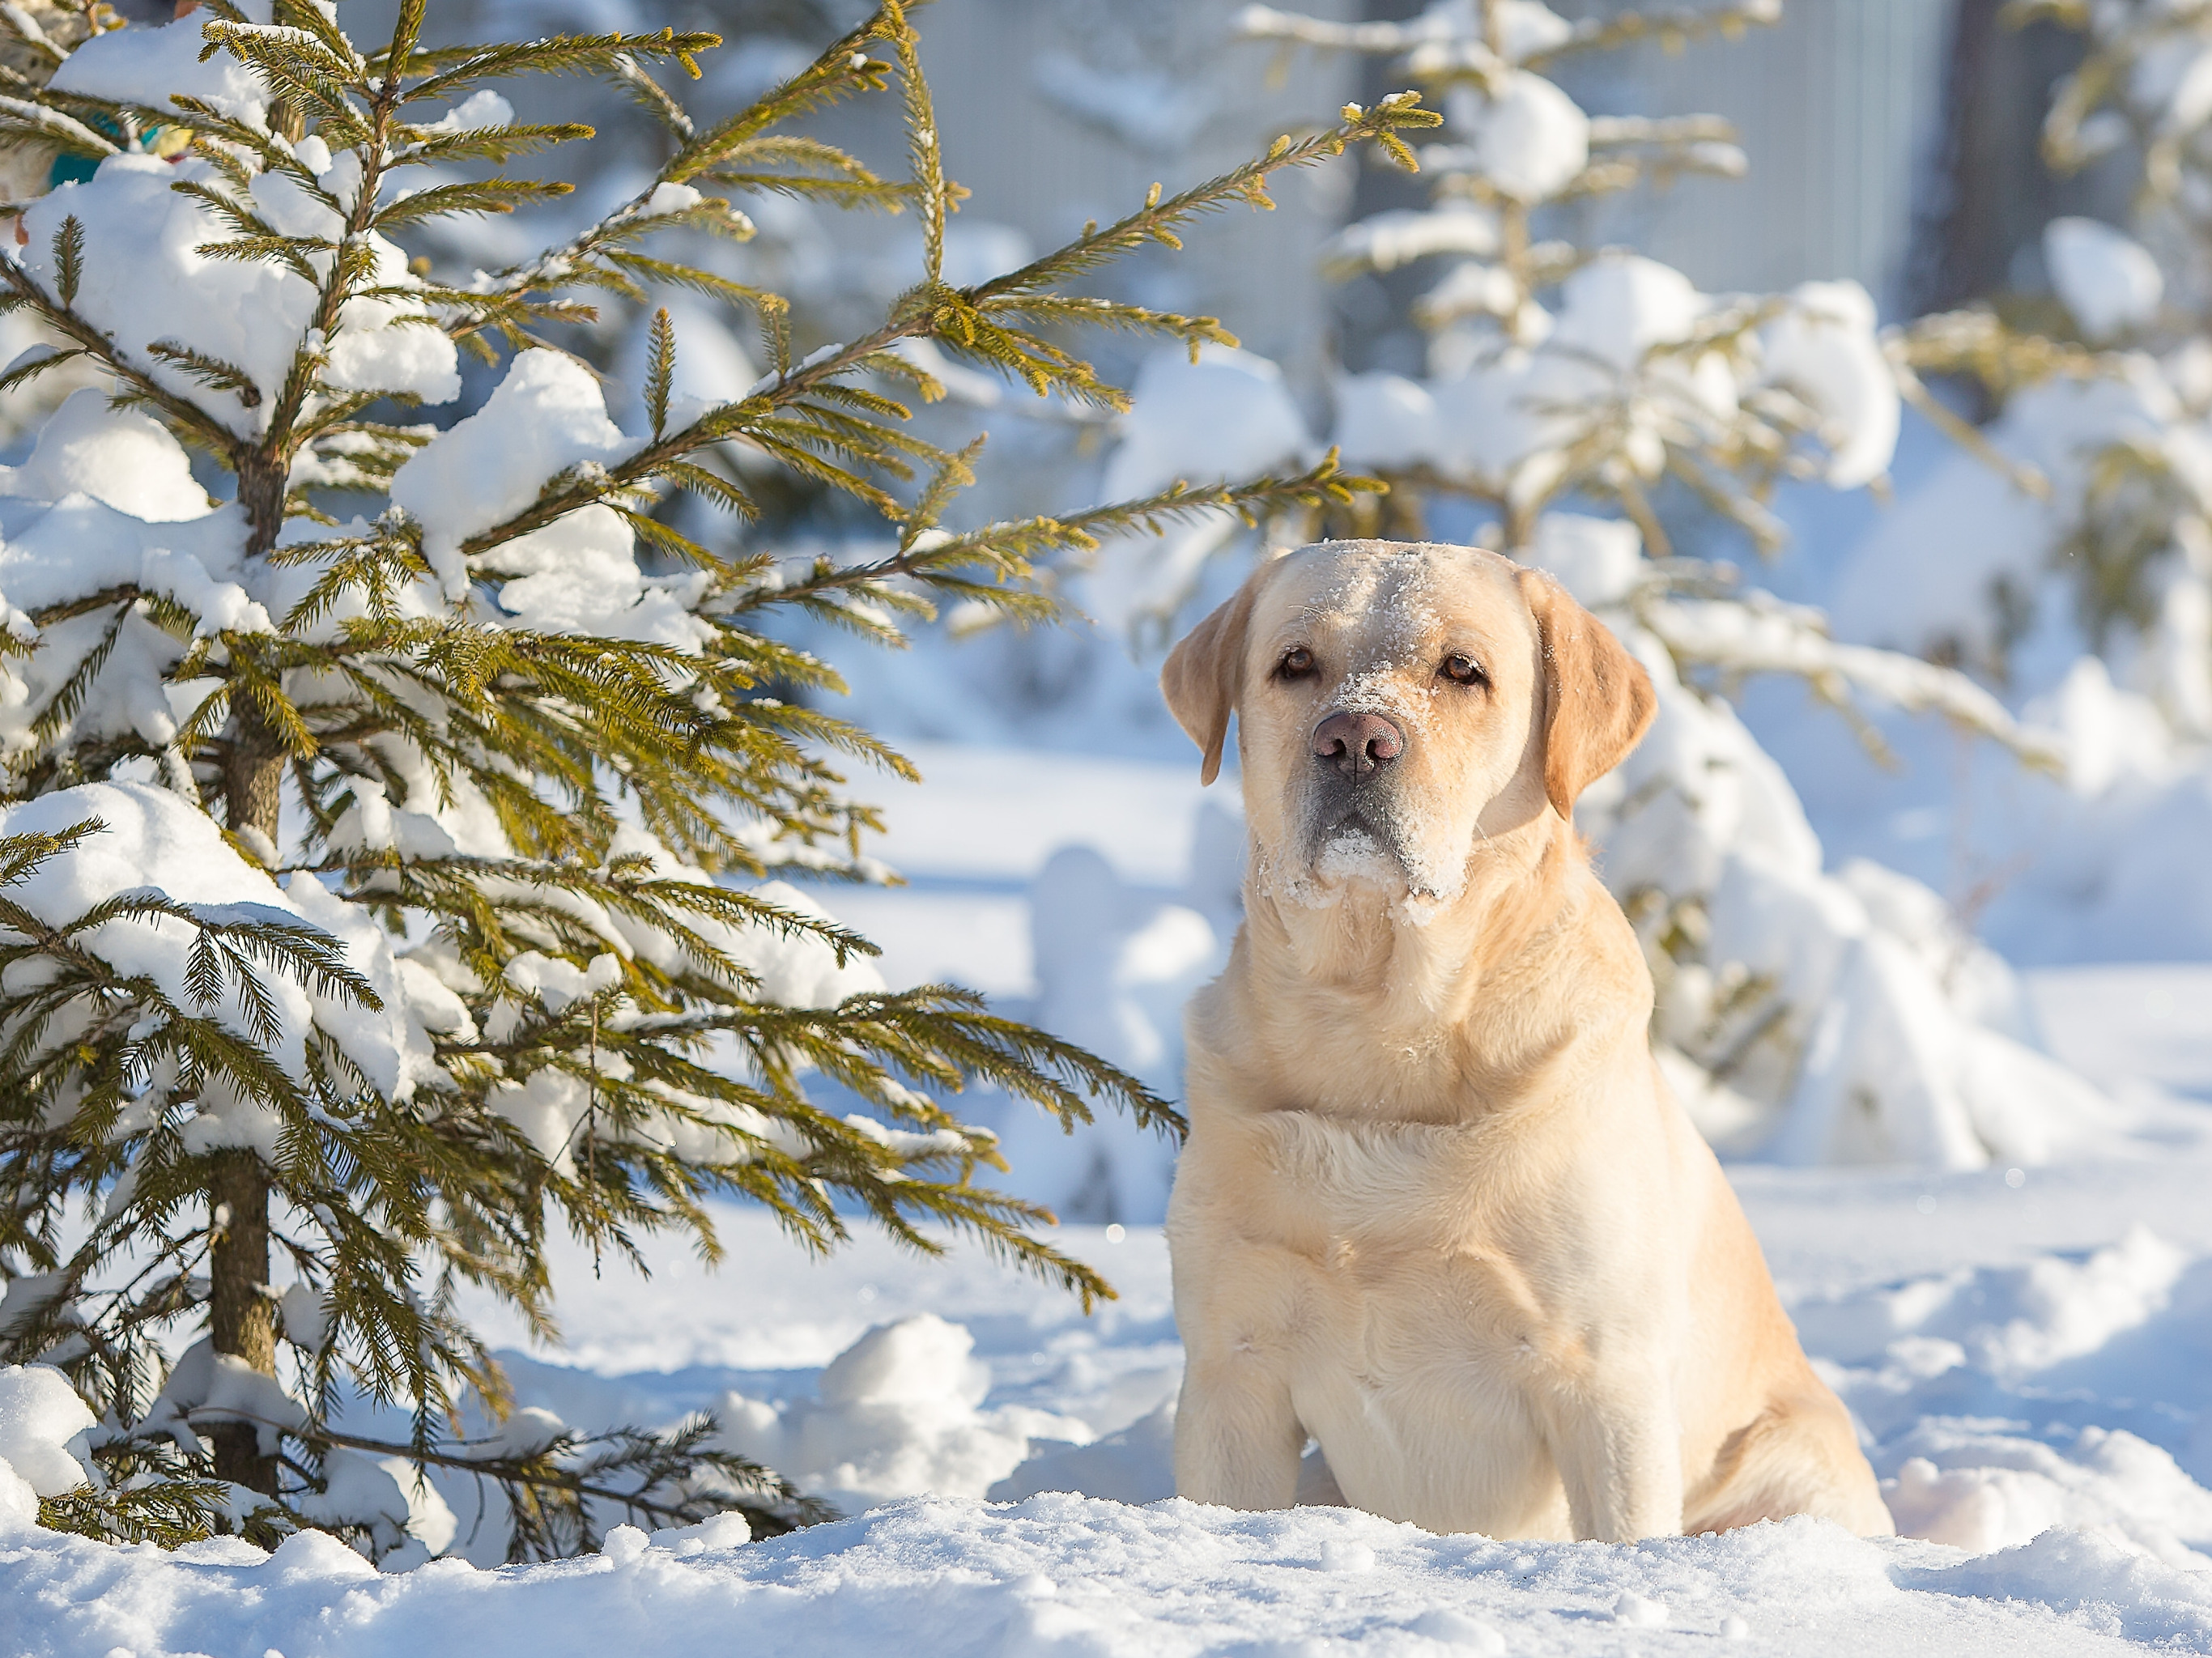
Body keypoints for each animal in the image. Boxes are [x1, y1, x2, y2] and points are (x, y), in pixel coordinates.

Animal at [1150, 542, 1893, 1547]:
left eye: (1462, 669)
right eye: (1293, 662)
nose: (1355, 739)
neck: (1384, 1030)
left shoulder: (1602, 1381)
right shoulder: (1233, 1367)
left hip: (1785, 1469)